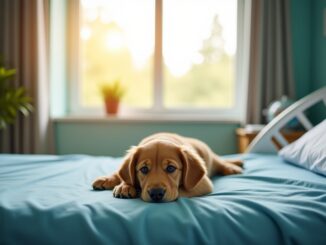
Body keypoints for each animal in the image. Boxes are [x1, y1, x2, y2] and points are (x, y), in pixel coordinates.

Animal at [91, 133, 242, 202]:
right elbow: (121, 174)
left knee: (219, 161)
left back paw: (232, 167)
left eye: (171, 168)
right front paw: (124, 185)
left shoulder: (203, 184)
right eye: (144, 169)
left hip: (208, 156)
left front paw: (132, 188)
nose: (156, 193)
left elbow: (180, 191)